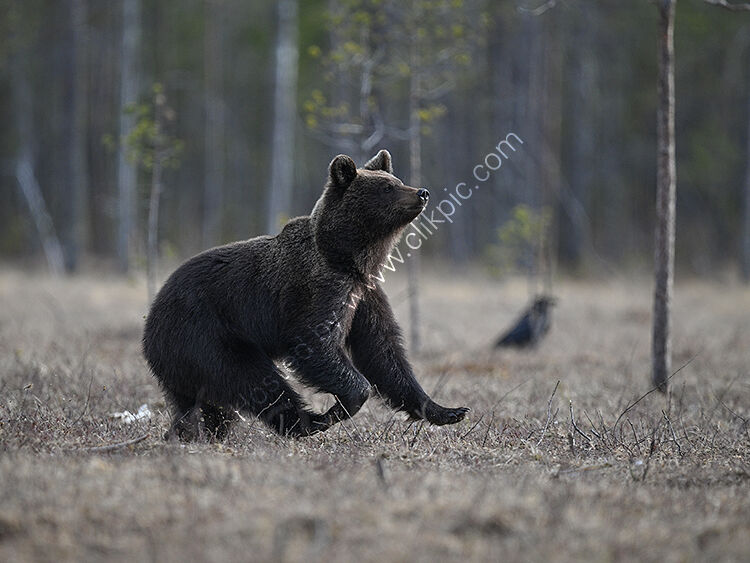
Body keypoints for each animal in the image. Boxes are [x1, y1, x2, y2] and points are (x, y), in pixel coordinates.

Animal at [143, 149, 469, 441]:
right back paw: (308, 422)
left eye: (396, 179)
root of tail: (152, 318)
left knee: (206, 405)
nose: (422, 192)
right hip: (206, 334)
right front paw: (341, 406)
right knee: (253, 379)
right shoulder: (321, 289)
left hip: (185, 361)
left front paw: (447, 410)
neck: (350, 258)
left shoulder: (365, 295)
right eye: (388, 187)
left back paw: (191, 433)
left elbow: (383, 351)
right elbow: (316, 343)